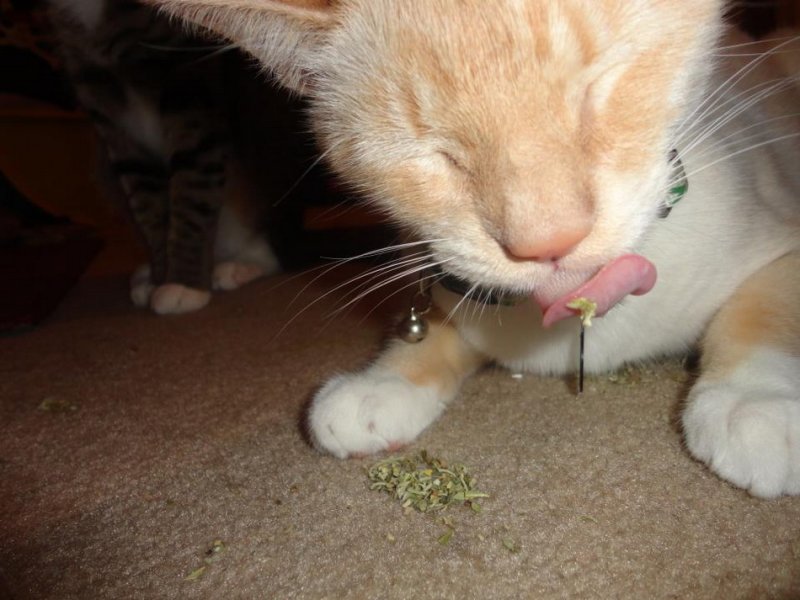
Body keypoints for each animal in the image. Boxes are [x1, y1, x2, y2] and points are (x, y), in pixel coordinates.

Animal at [47, 0, 280, 314]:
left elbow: (192, 196)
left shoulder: (191, 91)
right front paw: (160, 278)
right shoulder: (108, 116)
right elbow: (149, 210)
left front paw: (184, 284)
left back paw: (238, 267)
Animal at [148, 0, 800, 497]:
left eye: (597, 89)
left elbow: (765, 308)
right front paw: (385, 381)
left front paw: (753, 400)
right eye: (436, 155)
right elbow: (443, 320)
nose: (548, 240)